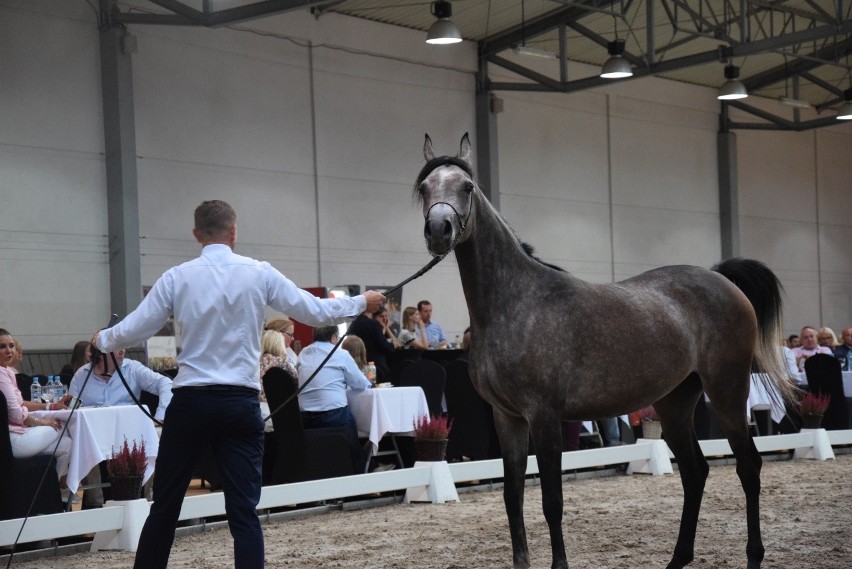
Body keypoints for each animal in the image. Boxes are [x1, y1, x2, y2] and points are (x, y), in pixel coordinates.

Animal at [414, 134, 800, 568]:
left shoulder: (544, 416)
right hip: (675, 402)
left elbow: (552, 501)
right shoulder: (507, 417)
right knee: (695, 471)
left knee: (748, 467)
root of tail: (721, 279)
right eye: (425, 187)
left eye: (467, 187)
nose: (438, 229)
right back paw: (677, 558)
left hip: (728, 391)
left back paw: (753, 555)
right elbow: (513, 497)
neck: (515, 303)